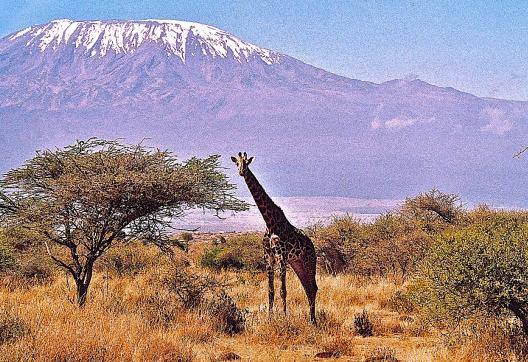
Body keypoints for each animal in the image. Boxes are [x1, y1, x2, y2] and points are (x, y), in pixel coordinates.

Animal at [230, 151, 318, 324]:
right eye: (237, 163)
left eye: (247, 163)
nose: (241, 172)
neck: (269, 222)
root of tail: (312, 245)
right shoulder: (268, 256)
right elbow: (270, 290)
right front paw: (269, 317)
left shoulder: (281, 256)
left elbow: (283, 290)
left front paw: (284, 317)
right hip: (297, 263)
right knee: (308, 287)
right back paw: (311, 319)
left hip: (309, 261)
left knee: (313, 287)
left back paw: (313, 320)